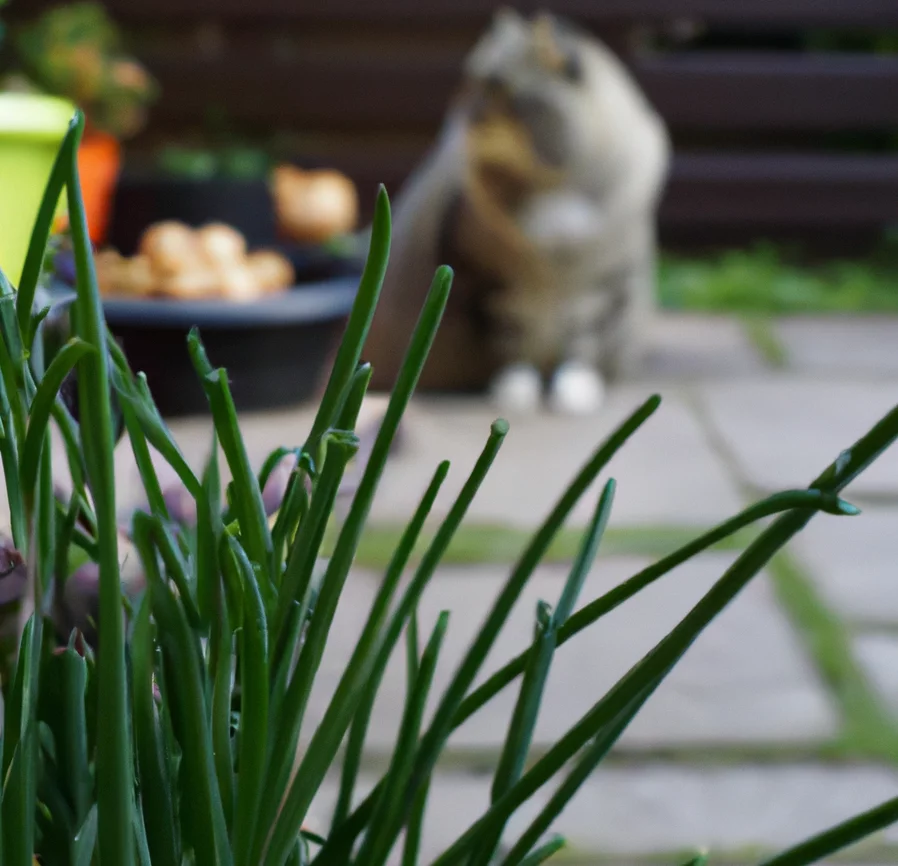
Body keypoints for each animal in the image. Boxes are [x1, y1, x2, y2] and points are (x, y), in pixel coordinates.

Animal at [360, 6, 668, 412]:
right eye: (468, 82)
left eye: (495, 88)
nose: (463, 116)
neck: (551, 189)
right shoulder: (491, 286)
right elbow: (512, 345)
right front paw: (515, 391)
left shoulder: (600, 287)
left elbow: (581, 345)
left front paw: (573, 391)